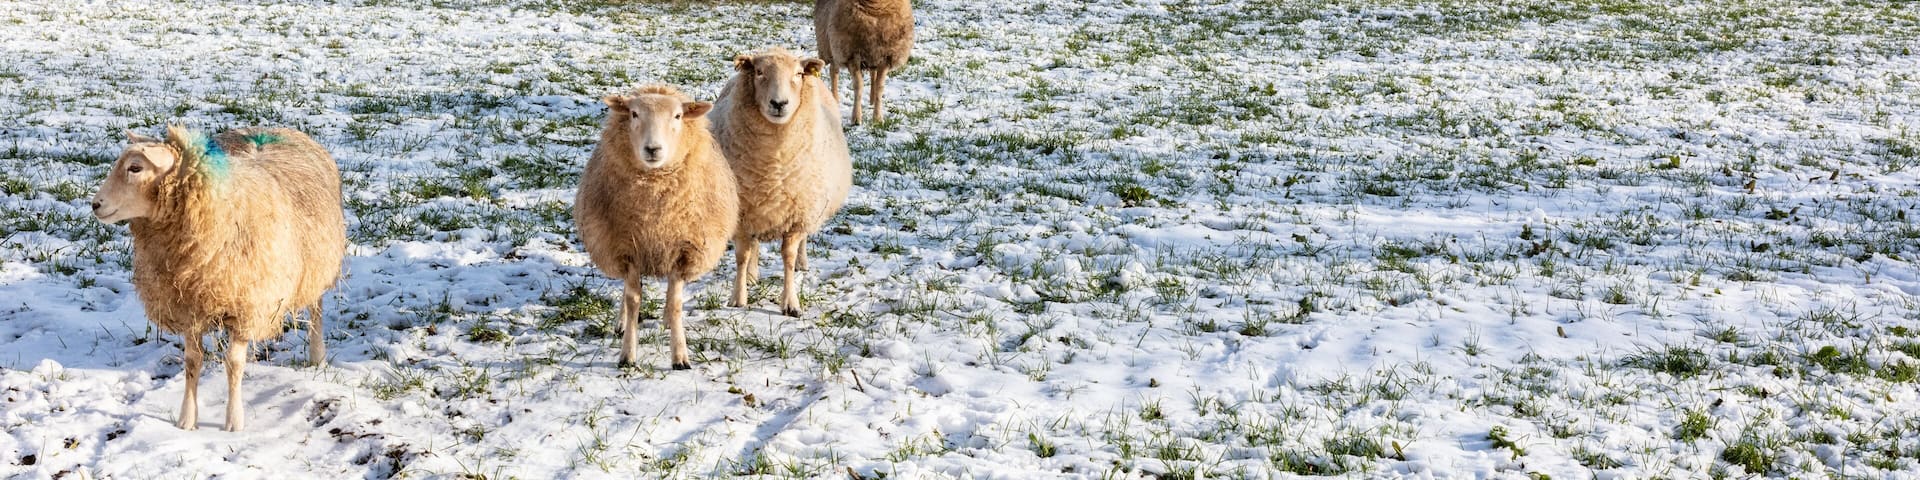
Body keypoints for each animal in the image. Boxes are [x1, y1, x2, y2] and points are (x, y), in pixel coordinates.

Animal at [89, 126, 345, 431]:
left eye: (135, 168)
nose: (95, 204)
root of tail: (273, 127)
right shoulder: (189, 305)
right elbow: (192, 361)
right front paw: (187, 418)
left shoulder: (247, 306)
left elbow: (233, 363)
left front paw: (233, 420)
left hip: (317, 263)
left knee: (316, 307)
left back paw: (317, 355)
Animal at [574, 85, 740, 370]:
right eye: (633, 113)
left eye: (677, 116)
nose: (653, 149)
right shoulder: (626, 249)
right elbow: (632, 300)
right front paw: (627, 354)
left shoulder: (683, 250)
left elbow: (674, 304)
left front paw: (680, 356)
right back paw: (621, 323)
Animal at [709, 48, 853, 317]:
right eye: (758, 72)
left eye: (798, 74)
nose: (779, 104)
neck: (773, 167)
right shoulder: (742, 213)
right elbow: (742, 255)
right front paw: (738, 297)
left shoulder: (798, 216)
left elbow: (788, 257)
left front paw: (791, 303)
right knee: (753, 246)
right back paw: (752, 275)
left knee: (803, 242)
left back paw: (802, 263)